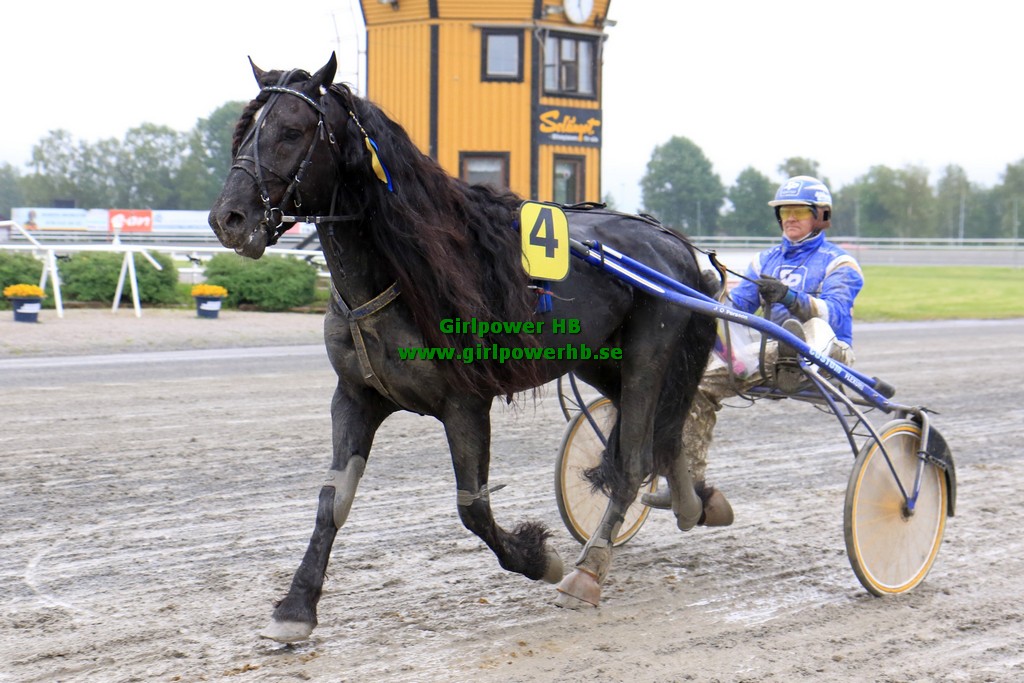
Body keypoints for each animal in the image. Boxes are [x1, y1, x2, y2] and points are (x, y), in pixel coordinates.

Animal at [208, 53, 717, 643]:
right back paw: (692, 504)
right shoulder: (355, 394)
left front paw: (540, 559)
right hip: (597, 359)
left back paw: (589, 570)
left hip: (647, 355)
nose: (227, 218)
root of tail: (674, 242)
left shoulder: (465, 402)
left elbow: (472, 508)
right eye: (244, 132)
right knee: (665, 432)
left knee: (634, 458)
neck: (401, 271)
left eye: (291, 132)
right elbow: (332, 499)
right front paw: (296, 606)